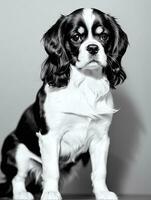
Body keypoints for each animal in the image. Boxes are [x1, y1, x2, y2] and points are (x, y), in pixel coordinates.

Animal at [0, 7, 128, 200]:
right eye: (76, 37)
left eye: (104, 36)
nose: (93, 47)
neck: (85, 84)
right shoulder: (50, 137)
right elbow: (51, 170)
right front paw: (51, 193)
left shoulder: (101, 139)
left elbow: (100, 171)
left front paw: (102, 193)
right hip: (16, 150)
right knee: (17, 178)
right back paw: (22, 194)